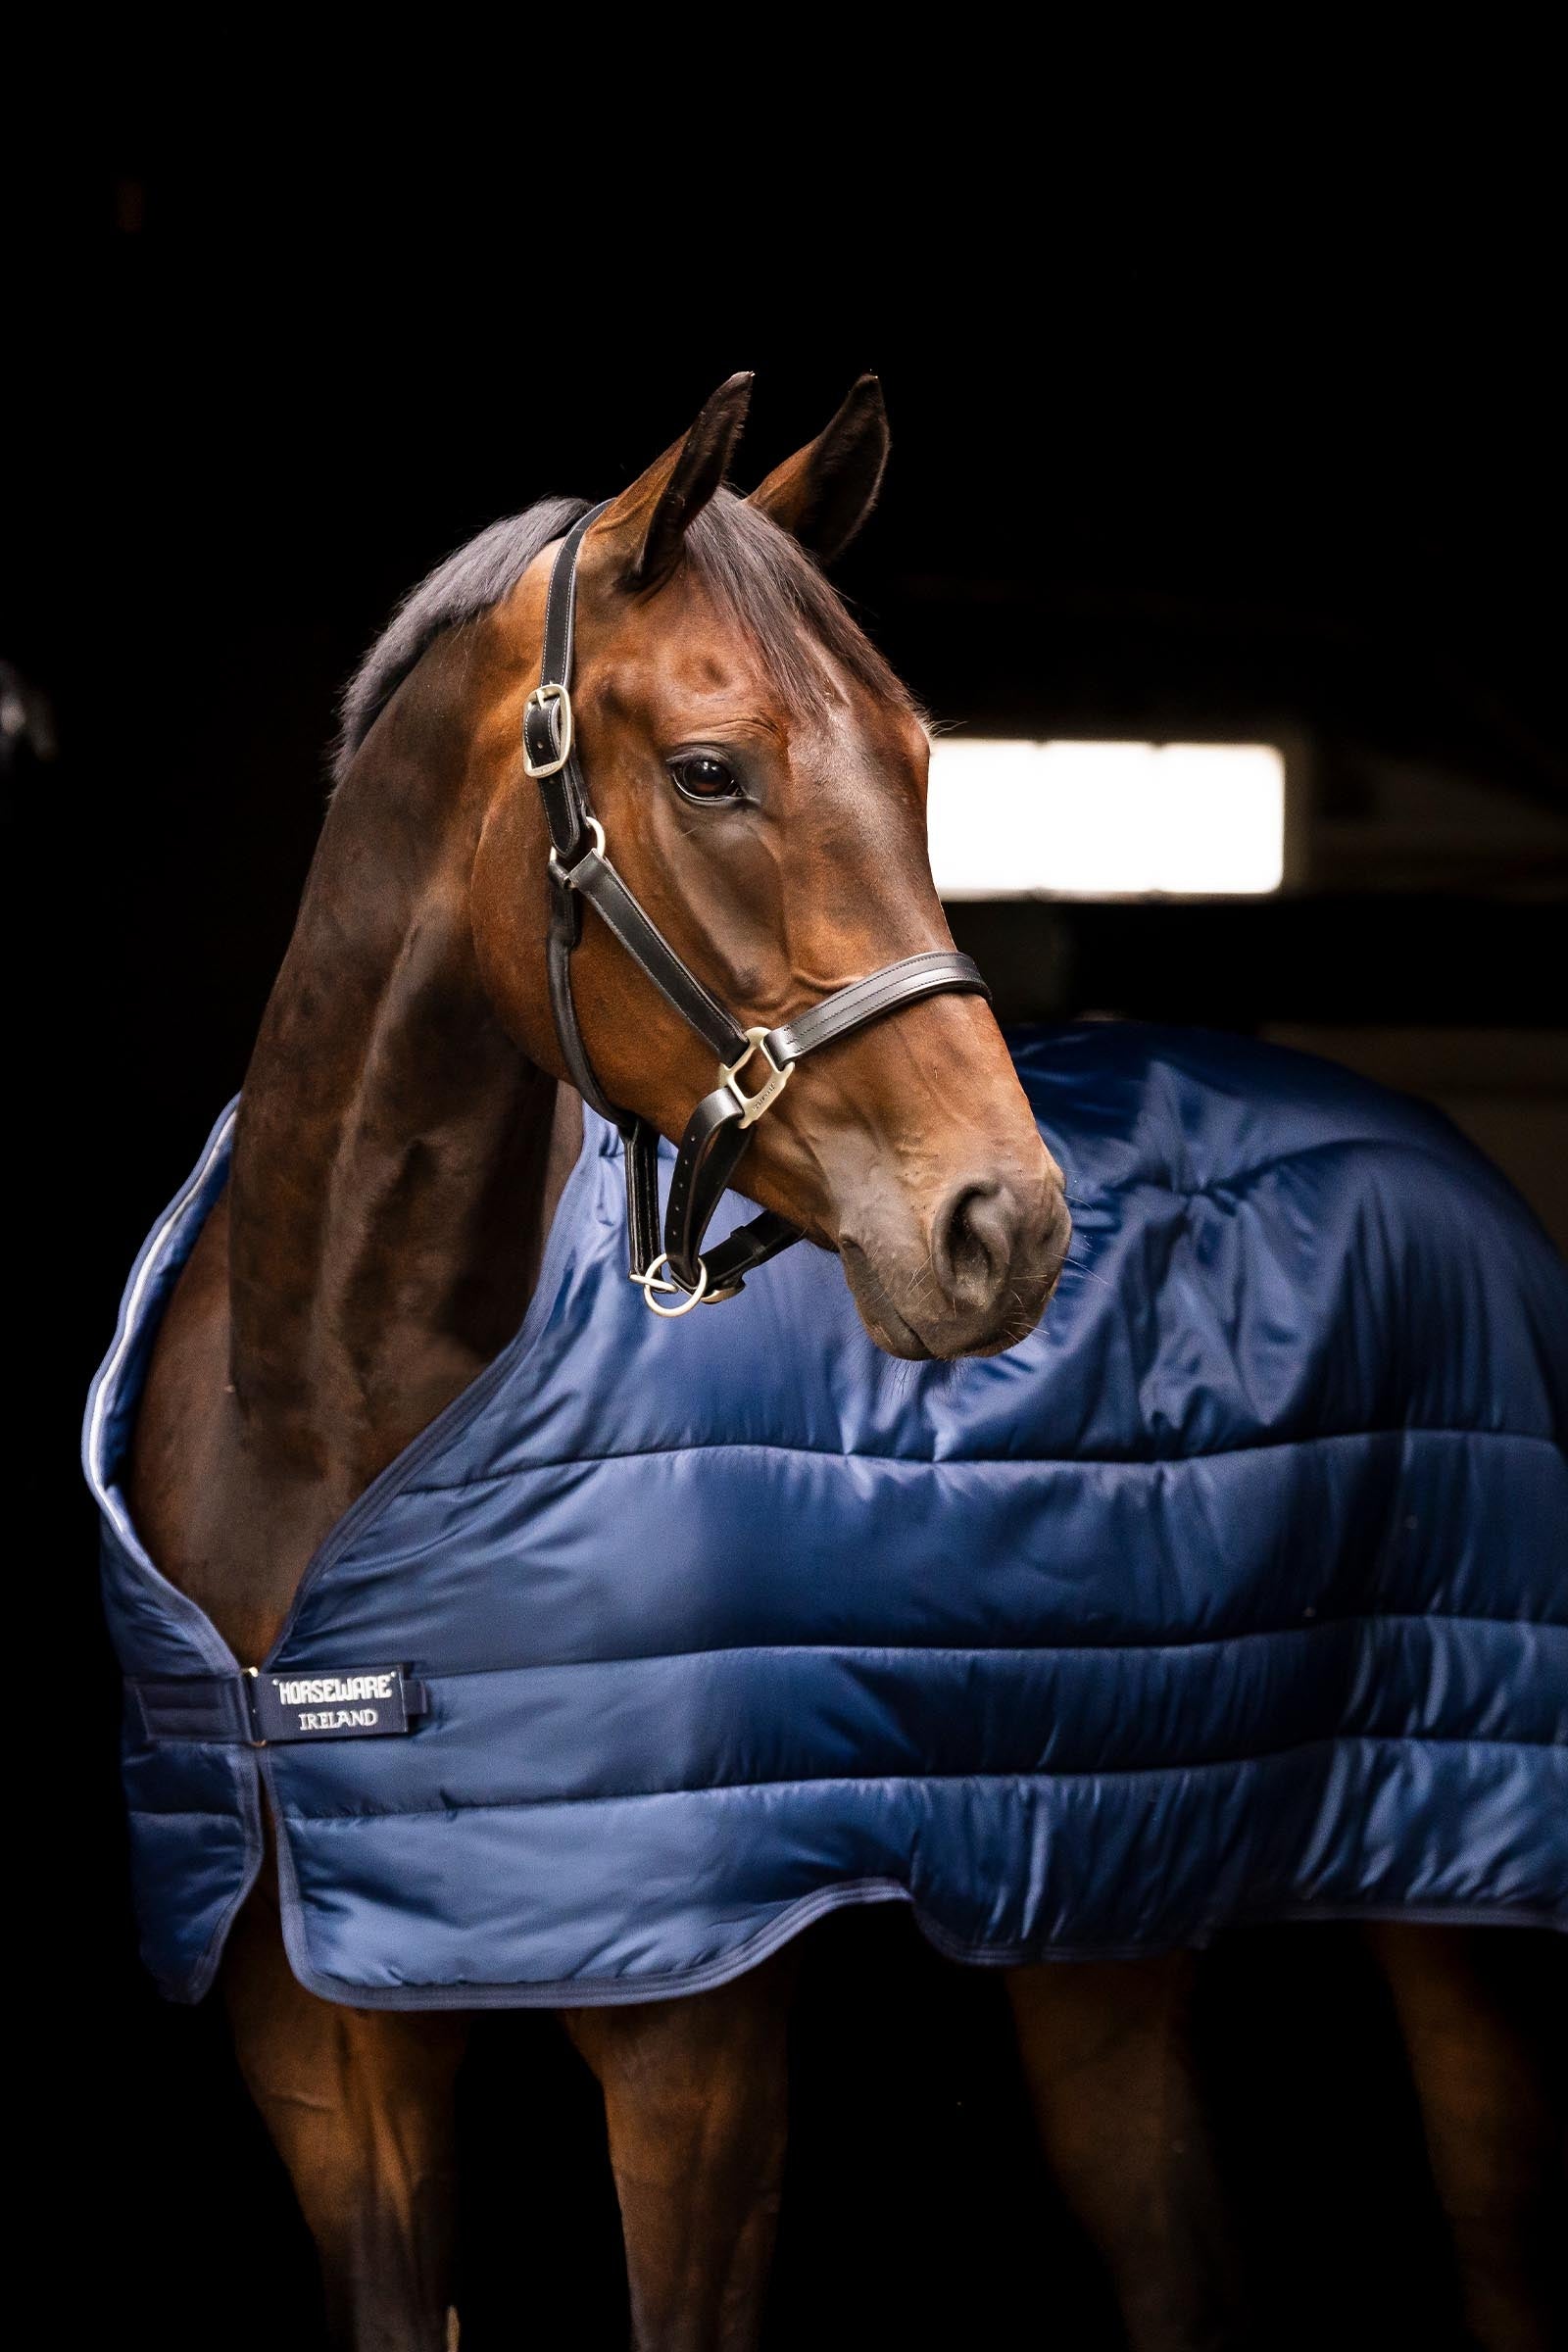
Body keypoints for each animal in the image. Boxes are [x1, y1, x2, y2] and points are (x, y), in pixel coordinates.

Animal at [102, 375, 1562, 2351]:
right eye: (712, 772)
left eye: (924, 760)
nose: (1002, 1227)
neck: (319, 1420)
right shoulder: (330, 2063)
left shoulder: (697, 2066)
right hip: (1096, 1899)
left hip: (1460, 1901)